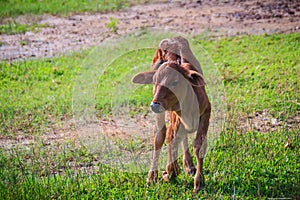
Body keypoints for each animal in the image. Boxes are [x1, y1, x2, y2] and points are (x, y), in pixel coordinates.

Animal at [131, 36, 211, 194]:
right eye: (155, 81)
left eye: (175, 82)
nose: (155, 105)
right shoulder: (175, 117)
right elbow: (170, 138)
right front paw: (170, 172)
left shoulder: (206, 112)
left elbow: (199, 146)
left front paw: (198, 181)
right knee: (160, 136)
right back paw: (152, 176)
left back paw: (188, 165)